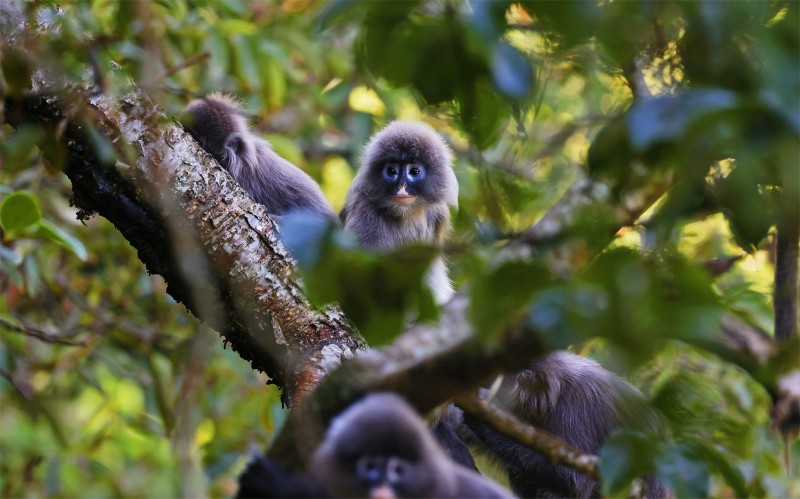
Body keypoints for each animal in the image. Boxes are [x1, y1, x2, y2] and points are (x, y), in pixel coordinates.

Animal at [340, 120, 460, 304]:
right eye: (391, 171)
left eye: (414, 172)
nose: (401, 187)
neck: (405, 214)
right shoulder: (364, 213)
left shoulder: (437, 214)